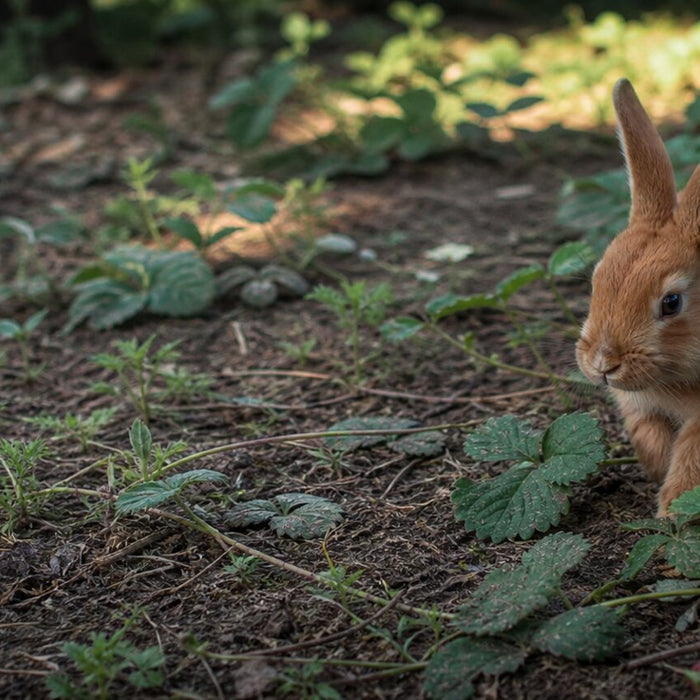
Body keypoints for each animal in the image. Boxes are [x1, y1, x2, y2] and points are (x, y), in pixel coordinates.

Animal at [576, 78, 700, 516]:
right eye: (596, 281)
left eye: (671, 302)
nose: (603, 365)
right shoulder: (637, 406)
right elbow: (648, 433)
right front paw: (657, 470)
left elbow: (693, 451)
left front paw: (674, 509)